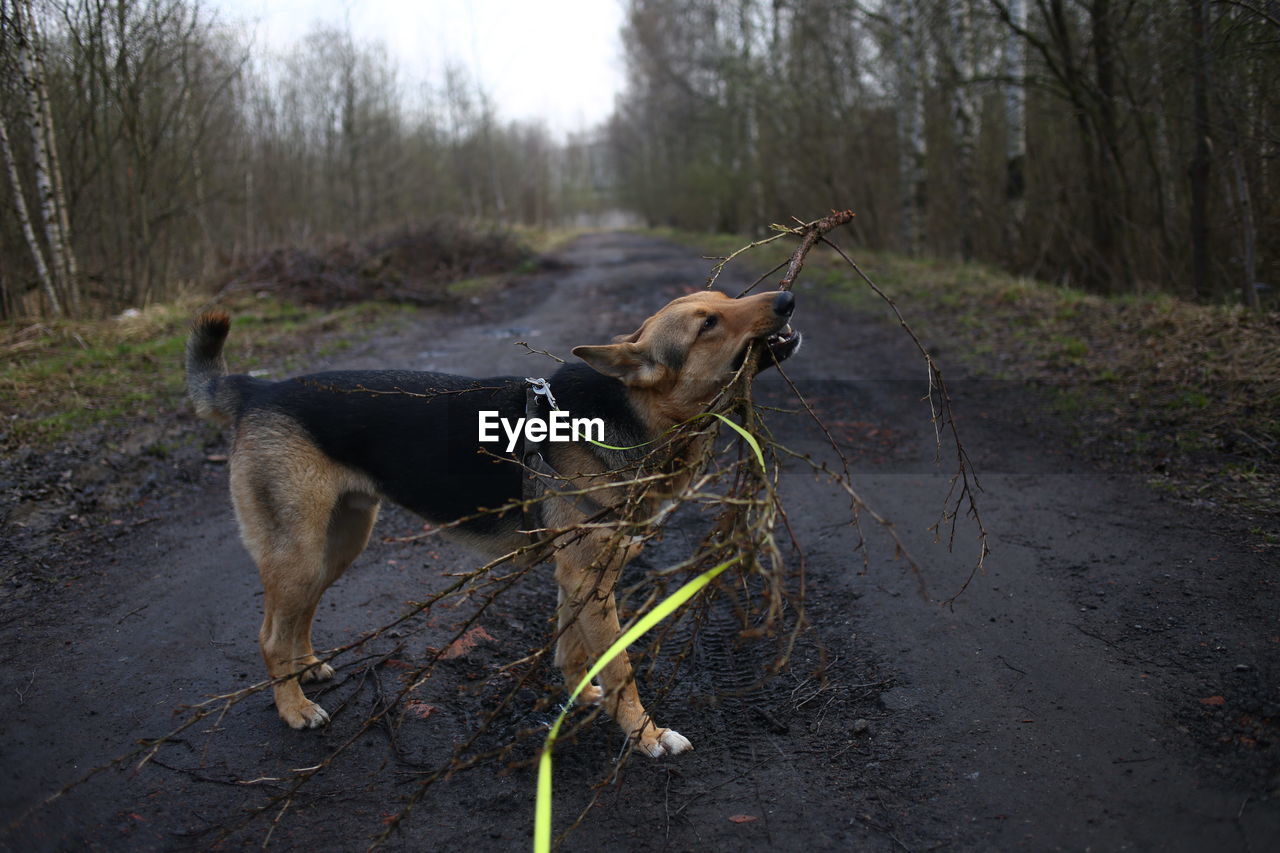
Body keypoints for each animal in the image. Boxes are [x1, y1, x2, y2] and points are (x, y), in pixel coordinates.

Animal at [183, 289, 798, 753]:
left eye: (728, 299)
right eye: (707, 325)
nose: (787, 299)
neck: (626, 414)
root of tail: (257, 389)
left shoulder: (579, 579)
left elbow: (574, 651)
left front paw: (582, 700)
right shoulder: (590, 579)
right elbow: (620, 667)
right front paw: (646, 736)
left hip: (338, 543)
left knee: (298, 618)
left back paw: (307, 668)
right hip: (300, 551)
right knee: (269, 636)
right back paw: (293, 708)